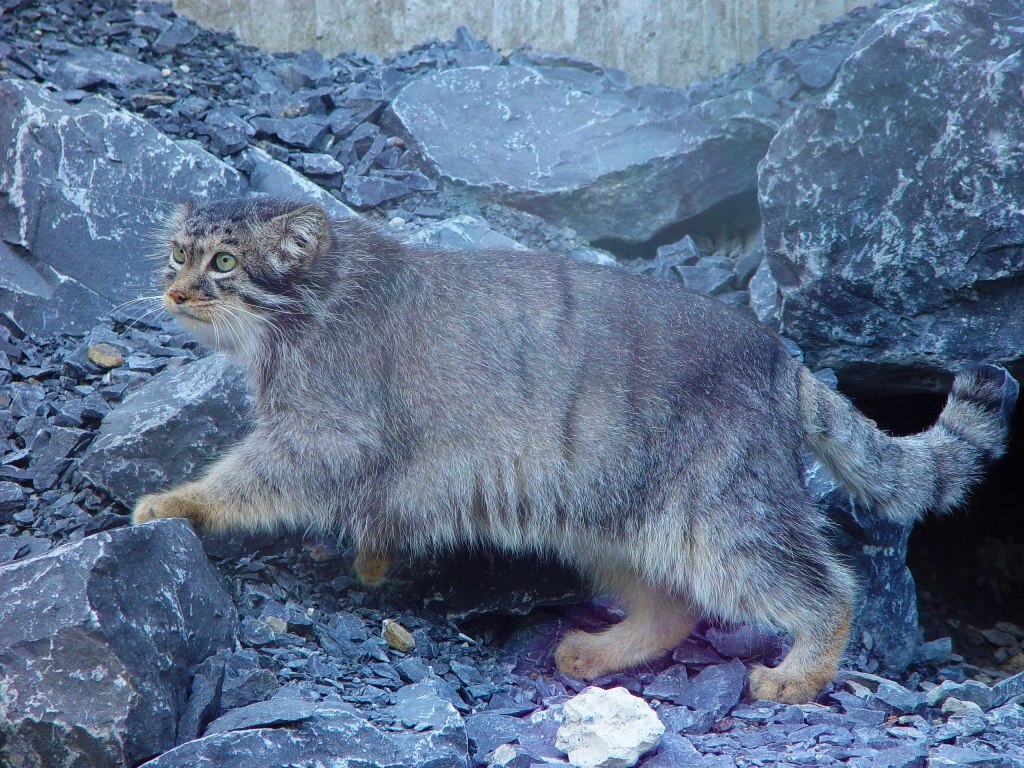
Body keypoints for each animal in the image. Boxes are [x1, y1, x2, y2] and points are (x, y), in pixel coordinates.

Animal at [134, 196, 1015, 704]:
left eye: (223, 263)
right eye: (176, 254)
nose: (172, 291)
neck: (312, 302)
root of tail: (780, 356)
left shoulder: (324, 430)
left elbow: (248, 476)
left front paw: (177, 502)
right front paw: (373, 557)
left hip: (725, 511)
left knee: (823, 588)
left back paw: (799, 673)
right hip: (605, 516)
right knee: (671, 605)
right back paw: (602, 652)